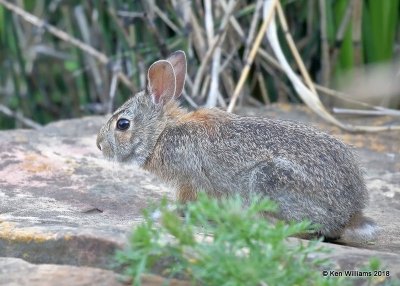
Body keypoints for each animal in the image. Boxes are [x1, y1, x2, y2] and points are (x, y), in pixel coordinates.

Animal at [96, 50, 376, 241]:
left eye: (122, 124)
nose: (99, 145)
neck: (162, 133)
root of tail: (350, 214)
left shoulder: (189, 180)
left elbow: (187, 203)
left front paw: (164, 215)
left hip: (269, 179)